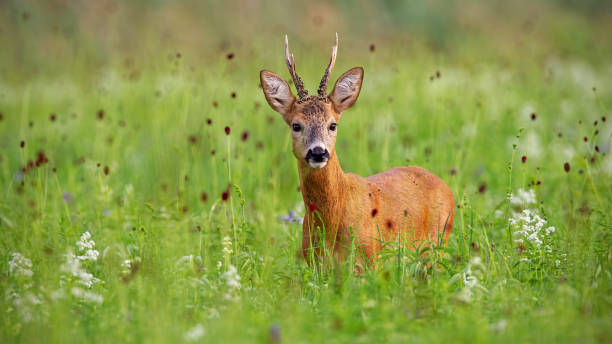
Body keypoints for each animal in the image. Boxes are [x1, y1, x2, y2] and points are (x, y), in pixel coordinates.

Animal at [260, 34, 454, 272]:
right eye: (296, 125)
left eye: (333, 125)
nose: (318, 152)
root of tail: (446, 188)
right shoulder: (314, 264)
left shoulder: (369, 259)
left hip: (438, 243)